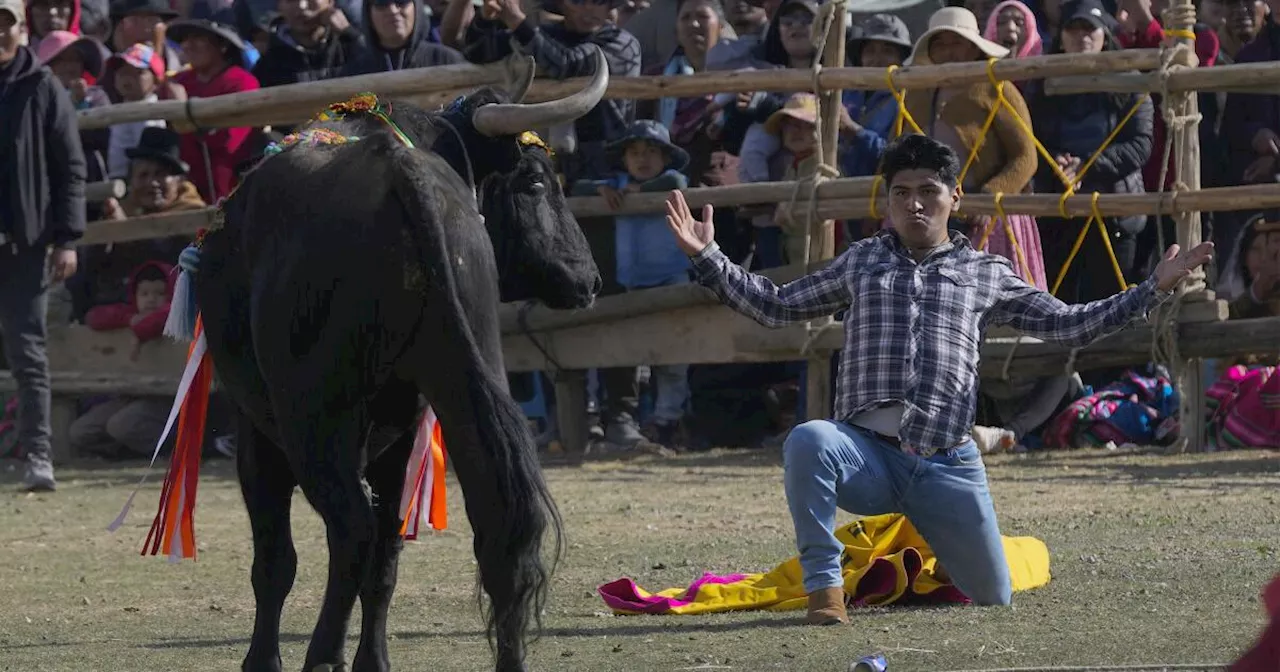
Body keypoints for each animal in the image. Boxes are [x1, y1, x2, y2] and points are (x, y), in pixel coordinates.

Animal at [190, 53, 609, 670]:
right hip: (461, 382)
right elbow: (385, 558)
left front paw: (264, 659)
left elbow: (277, 557)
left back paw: (323, 654)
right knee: (490, 519)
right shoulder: (403, 428)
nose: (589, 277)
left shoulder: (256, 429)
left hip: (313, 417)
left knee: (349, 528)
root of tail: (400, 172)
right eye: (536, 181)